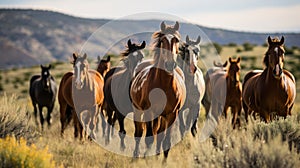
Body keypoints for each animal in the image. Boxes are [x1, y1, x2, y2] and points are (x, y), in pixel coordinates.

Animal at [130, 21, 186, 159]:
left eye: (176, 40)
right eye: (162, 40)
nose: (170, 64)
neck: (163, 85)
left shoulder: (172, 114)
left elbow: (166, 141)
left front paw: (162, 160)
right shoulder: (149, 112)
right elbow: (149, 138)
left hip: (162, 116)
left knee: (159, 136)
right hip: (138, 110)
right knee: (139, 133)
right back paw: (136, 156)